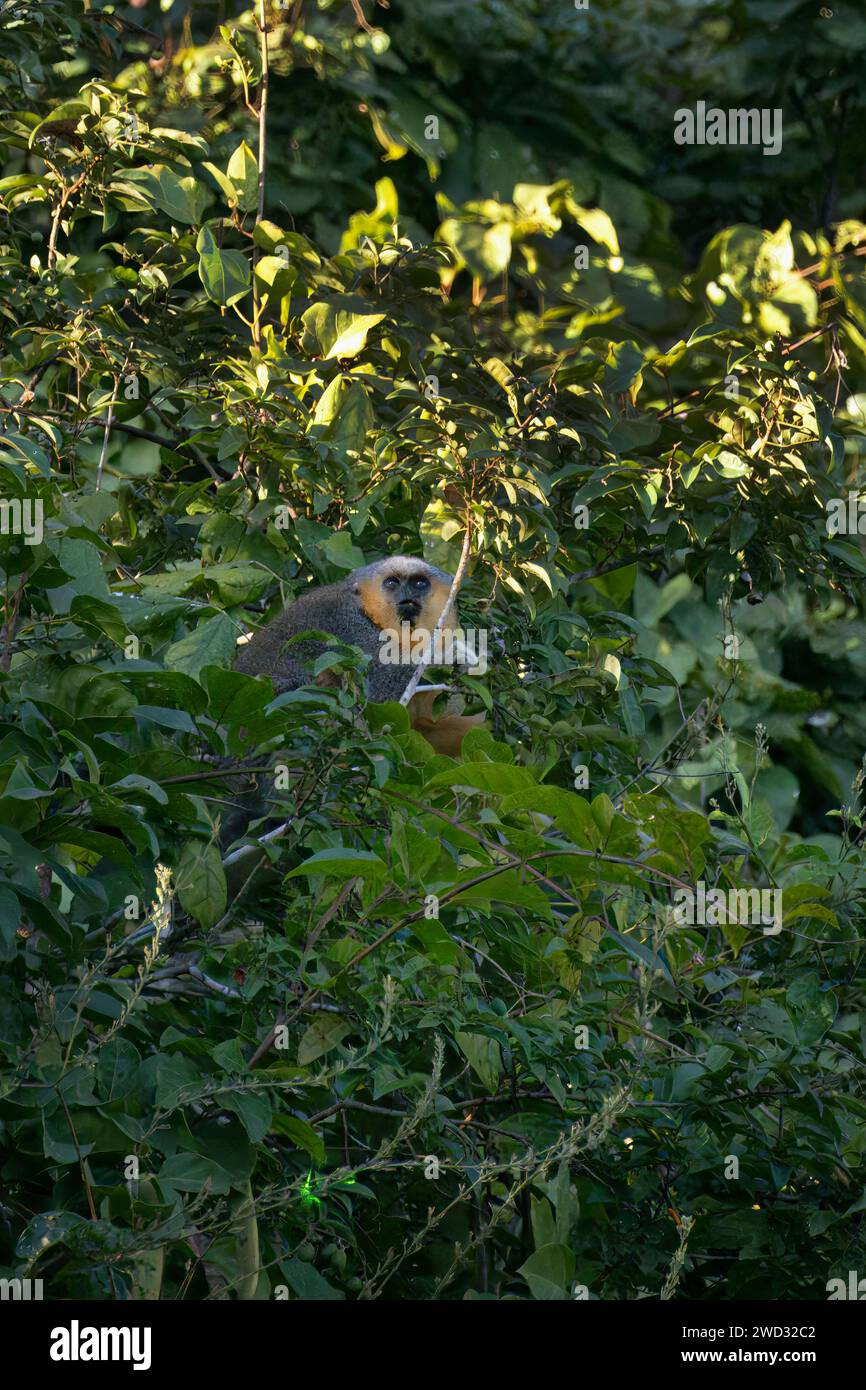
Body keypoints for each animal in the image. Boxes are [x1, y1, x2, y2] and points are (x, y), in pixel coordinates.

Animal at [233, 553, 483, 756]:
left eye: (420, 582)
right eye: (392, 582)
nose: (407, 593)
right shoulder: (350, 622)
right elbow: (379, 694)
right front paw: (450, 656)